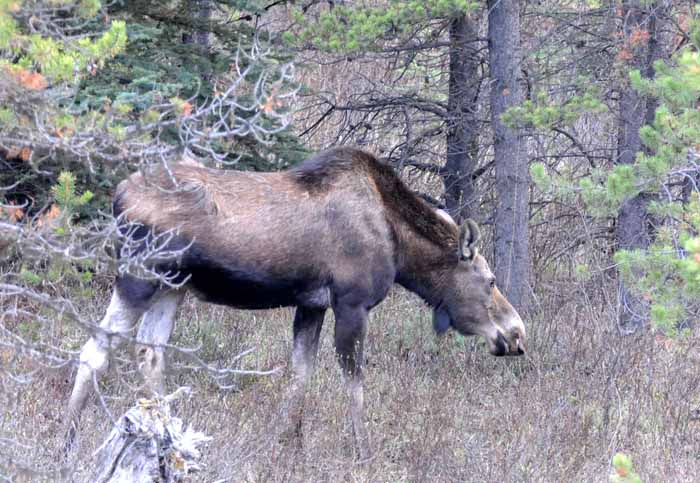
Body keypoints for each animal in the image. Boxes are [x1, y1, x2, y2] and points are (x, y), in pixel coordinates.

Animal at [67, 147, 524, 462]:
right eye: (490, 281)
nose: (517, 333)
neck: (400, 250)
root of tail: (117, 195)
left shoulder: (312, 305)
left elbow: (300, 374)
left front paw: (288, 444)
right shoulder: (352, 302)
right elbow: (354, 383)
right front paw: (362, 451)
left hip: (172, 285)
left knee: (150, 351)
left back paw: (167, 435)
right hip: (139, 275)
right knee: (95, 349)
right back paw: (68, 440)